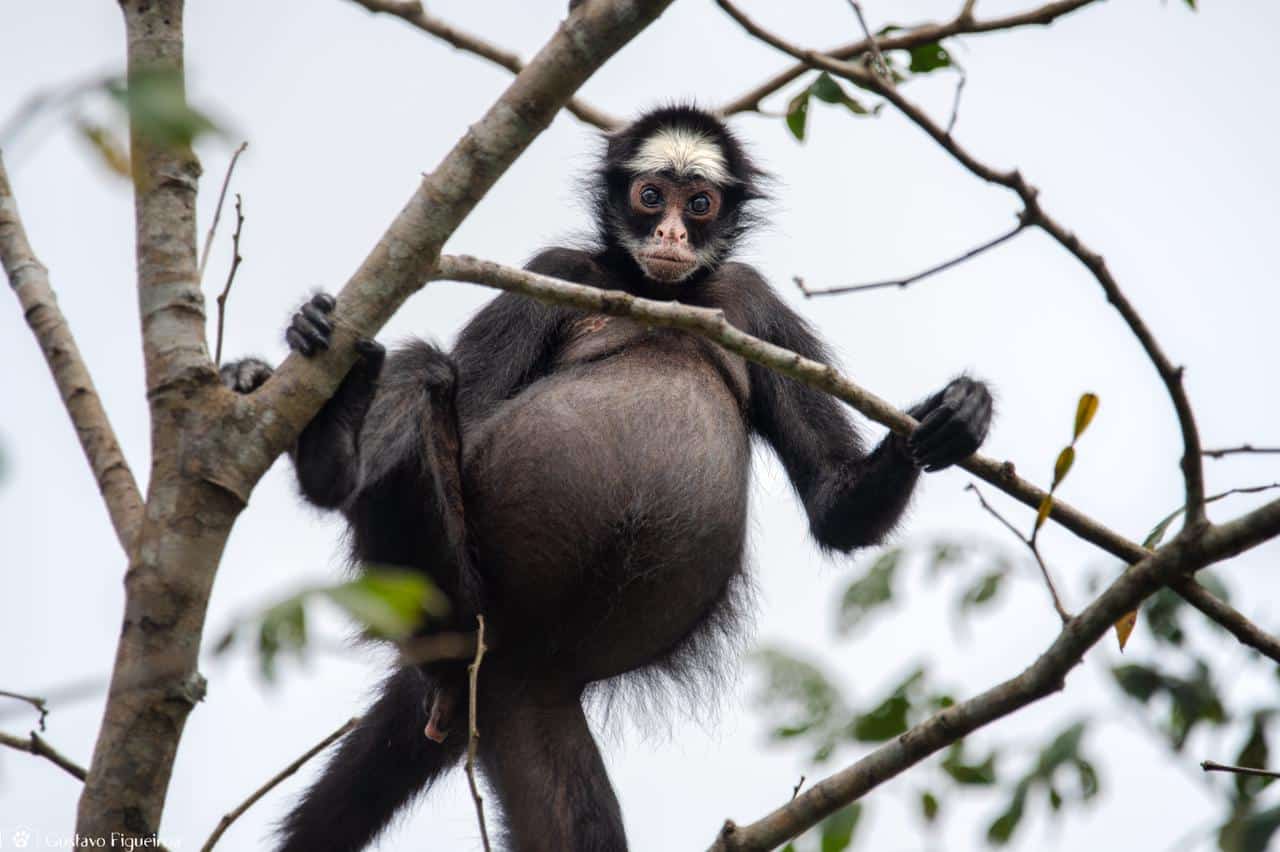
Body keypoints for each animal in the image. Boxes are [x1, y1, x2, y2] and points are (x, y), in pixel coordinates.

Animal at [225, 102, 993, 844]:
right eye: (651, 196)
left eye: (702, 203)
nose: (674, 232)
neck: (658, 293)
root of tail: (495, 653)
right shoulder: (558, 269)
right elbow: (465, 416)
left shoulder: (750, 296)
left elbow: (838, 512)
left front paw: (954, 417)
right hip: (448, 592)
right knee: (423, 371)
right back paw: (331, 449)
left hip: (526, 698)